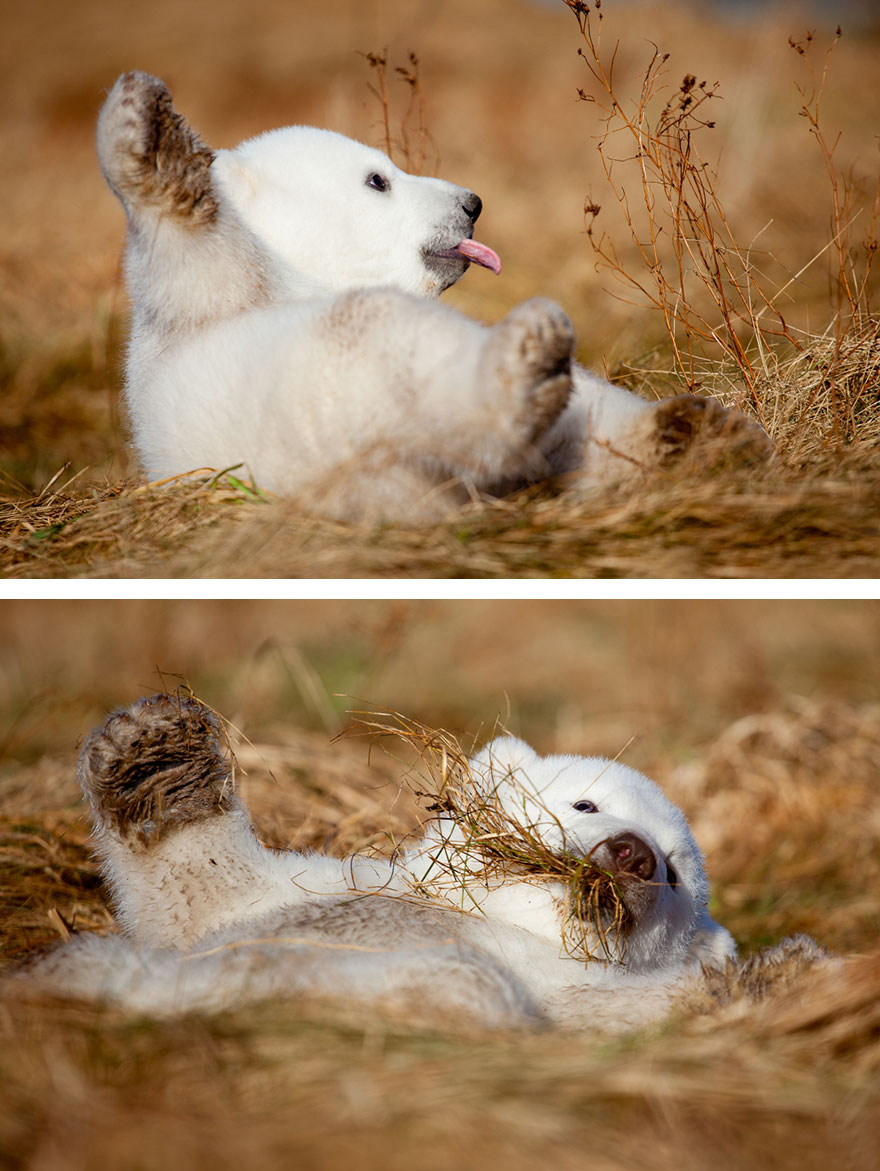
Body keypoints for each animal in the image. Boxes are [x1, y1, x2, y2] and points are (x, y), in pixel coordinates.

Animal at [97, 71, 772, 522]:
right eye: (378, 179)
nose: (472, 202)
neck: (302, 279)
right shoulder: (208, 311)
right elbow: (198, 255)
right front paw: (151, 128)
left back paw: (697, 431)